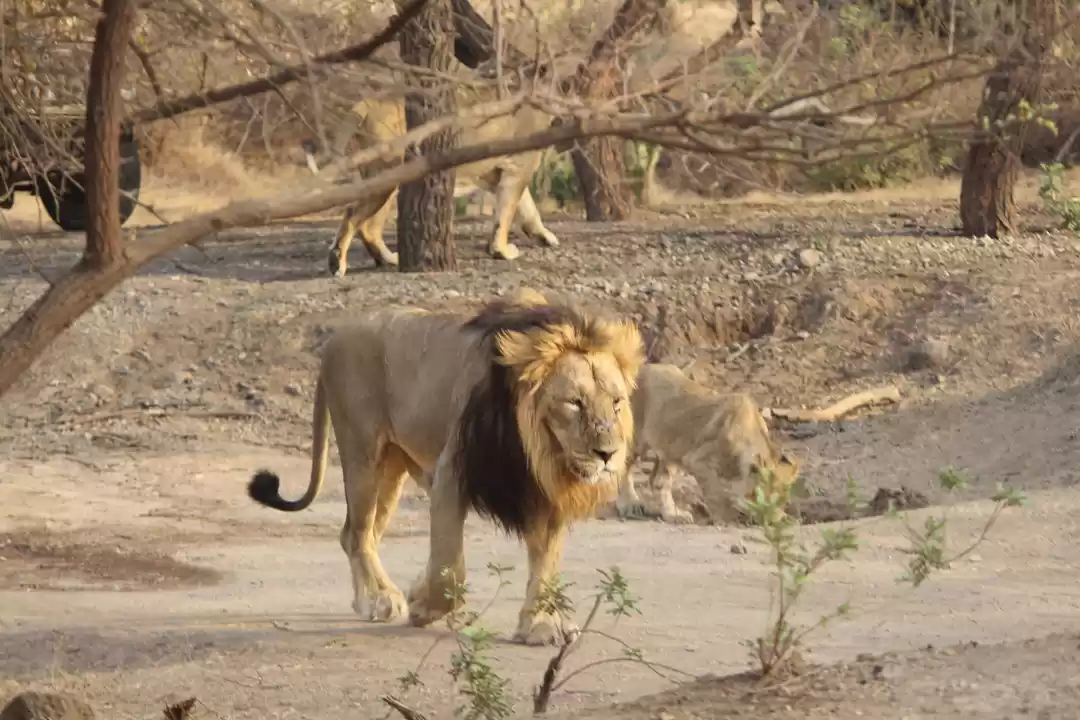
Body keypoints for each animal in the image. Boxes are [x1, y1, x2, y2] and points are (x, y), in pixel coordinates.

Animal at [246, 295, 644, 646]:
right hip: (362, 452)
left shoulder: (543, 493)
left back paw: (368, 598)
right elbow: (449, 568)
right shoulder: (451, 473)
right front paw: (423, 604)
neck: (536, 449)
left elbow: (546, 566)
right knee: (357, 534)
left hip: (391, 469)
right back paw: (380, 599)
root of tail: (335, 337)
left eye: (616, 402)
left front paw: (541, 626)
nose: (608, 453)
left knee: (358, 535)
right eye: (574, 403)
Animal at [306, 96, 561, 277]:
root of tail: (372, 101)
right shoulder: (517, 168)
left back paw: (386, 260)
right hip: (389, 176)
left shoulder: (493, 175)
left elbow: (529, 209)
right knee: (359, 221)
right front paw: (502, 251)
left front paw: (545, 237)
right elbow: (507, 213)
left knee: (362, 222)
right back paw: (341, 263)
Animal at [615, 362, 801, 525]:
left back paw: (672, 514)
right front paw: (724, 518)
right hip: (636, 439)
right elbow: (715, 493)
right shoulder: (698, 461)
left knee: (658, 481)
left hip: (669, 450)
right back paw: (629, 504)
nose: (773, 521)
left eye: (784, 500)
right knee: (625, 468)